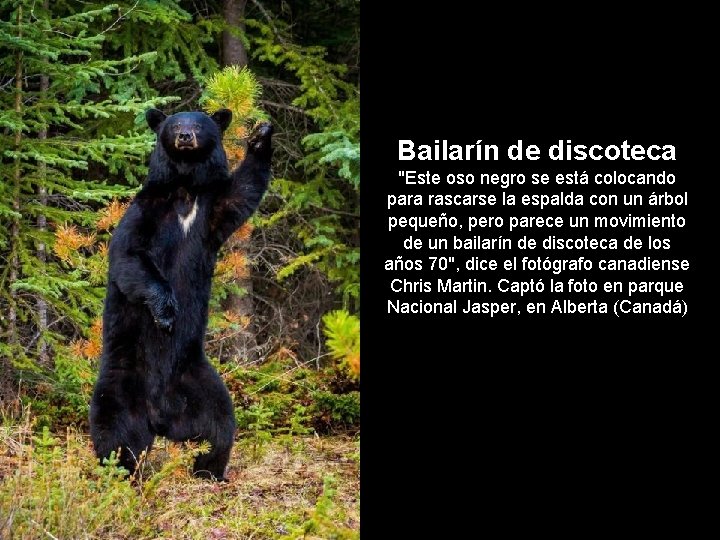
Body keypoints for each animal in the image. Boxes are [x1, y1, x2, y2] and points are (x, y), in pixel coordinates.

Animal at [89, 108, 273, 481]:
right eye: (175, 124)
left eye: (198, 124)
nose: (185, 137)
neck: (186, 190)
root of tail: (160, 417)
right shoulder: (146, 211)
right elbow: (129, 256)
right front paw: (166, 311)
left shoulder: (212, 209)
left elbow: (242, 193)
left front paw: (261, 135)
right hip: (120, 384)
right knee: (115, 434)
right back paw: (119, 474)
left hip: (199, 383)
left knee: (220, 426)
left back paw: (211, 471)